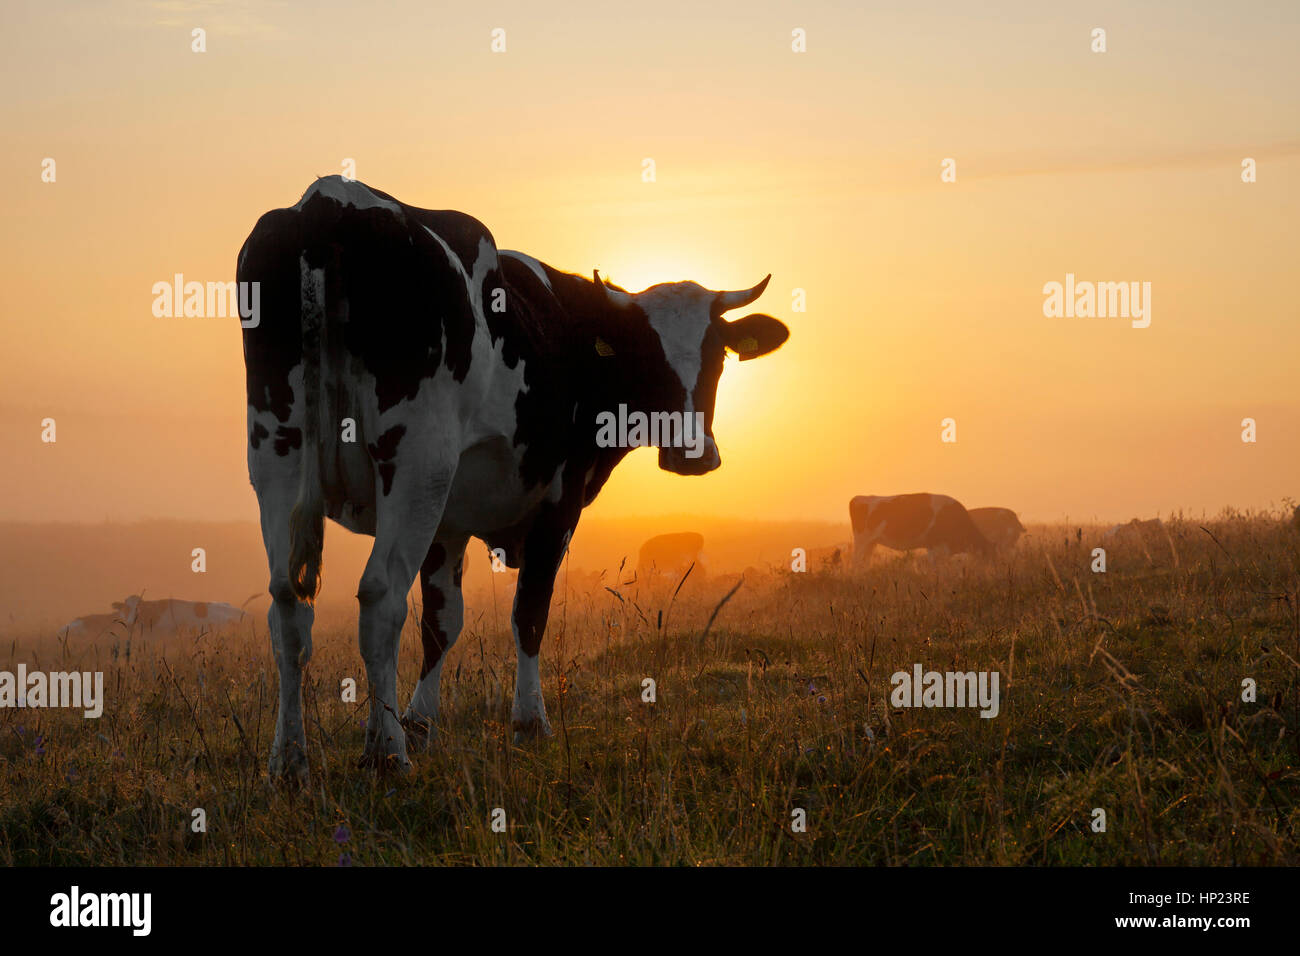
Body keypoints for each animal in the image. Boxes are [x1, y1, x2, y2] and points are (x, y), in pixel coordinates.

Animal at [237, 176, 789, 779]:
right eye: (648, 356)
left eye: (717, 356)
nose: (691, 453)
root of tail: (332, 200)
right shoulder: (557, 501)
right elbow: (529, 613)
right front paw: (527, 722)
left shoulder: (449, 521)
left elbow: (442, 623)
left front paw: (420, 722)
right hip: (416, 462)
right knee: (380, 597)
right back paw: (385, 753)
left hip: (278, 450)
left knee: (287, 603)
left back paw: (289, 760)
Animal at [849, 494, 992, 566]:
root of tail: (859, 497)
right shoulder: (936, 547)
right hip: (862, 542)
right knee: (856, 562)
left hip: (871, 543)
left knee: (864, 562)